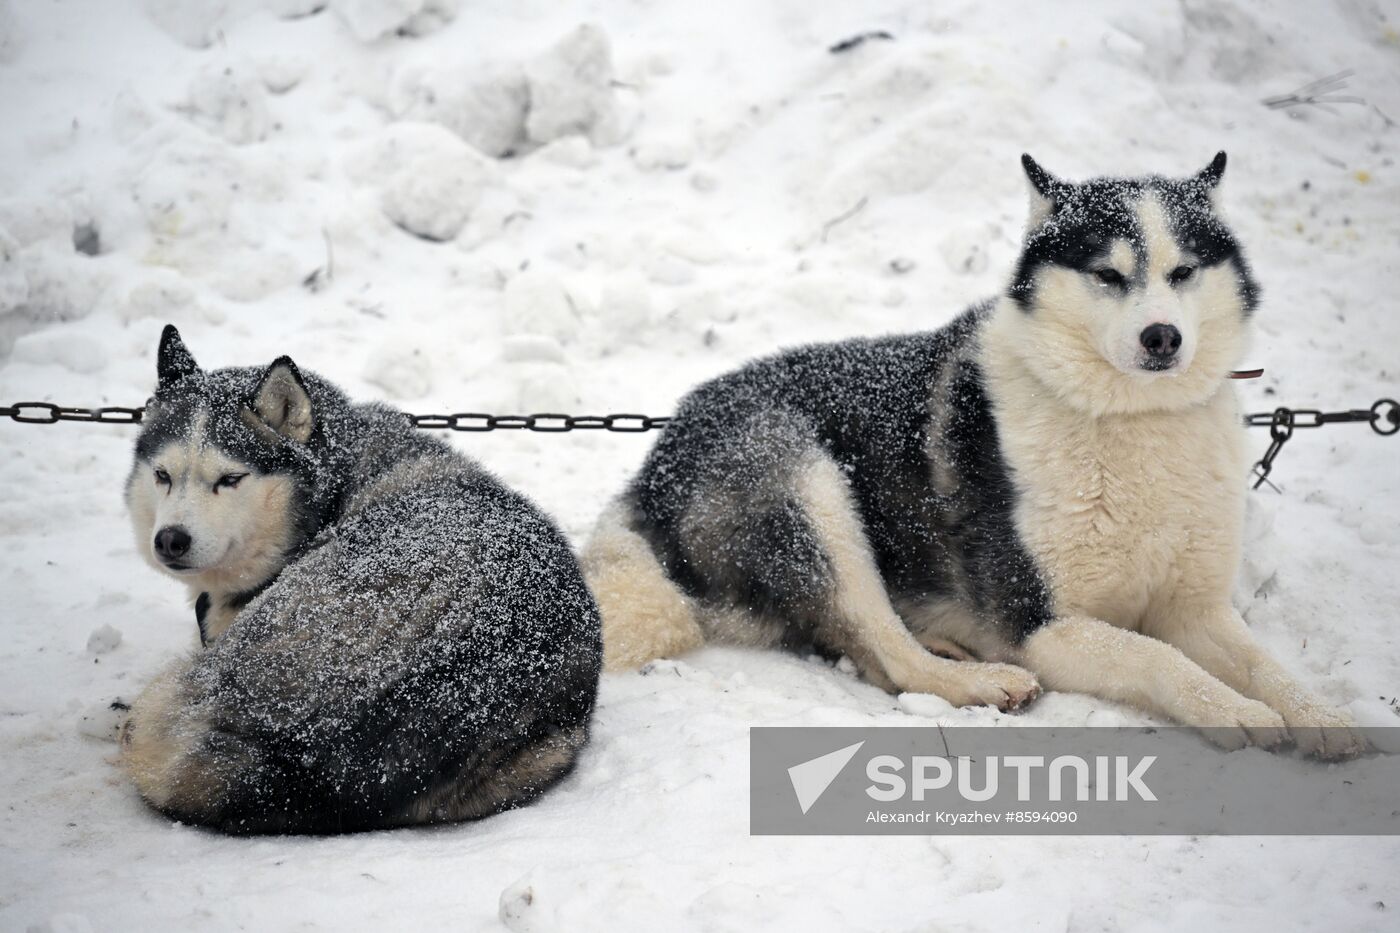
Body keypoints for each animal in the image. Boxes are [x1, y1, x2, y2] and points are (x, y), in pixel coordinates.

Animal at [588, 149, 1366, 750]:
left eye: (1183, 273)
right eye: (1108, 275)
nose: (1162, 337)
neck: (1128, 418)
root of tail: (656, 459)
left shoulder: (1195, 609)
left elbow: (1265, 664)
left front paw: (1319, 714)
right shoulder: (1039, 623)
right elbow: (1159, 658)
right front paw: (1235, 710)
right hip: (802, 477)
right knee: (884, 650)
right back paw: (975, 677)